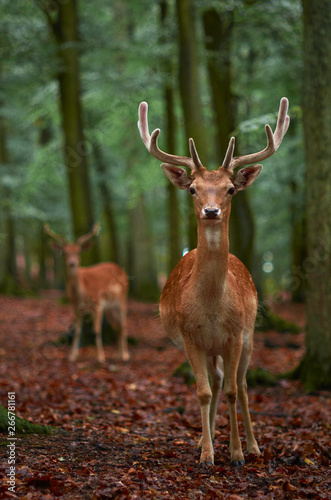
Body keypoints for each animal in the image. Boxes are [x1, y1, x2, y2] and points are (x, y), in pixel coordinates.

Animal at [45, 224, 130, 364]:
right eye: (65, 252)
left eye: (79, 251)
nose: (72, 263)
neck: (81, 294)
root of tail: (121, 270)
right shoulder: (75, 307)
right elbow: (77, 331)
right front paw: (72, 356)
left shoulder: (98, 304)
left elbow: (96, 331)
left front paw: (101, 357)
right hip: (110, 308)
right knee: (117, 326)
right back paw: (118, 354)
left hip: (123, 299)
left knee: (123, 324)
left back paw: (126, 355)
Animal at [139, 96, 290, 464]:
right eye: (193, 189)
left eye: (231, 189)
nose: (211, 211)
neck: (210, 307)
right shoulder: (190, 337)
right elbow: (203, 391)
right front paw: (207, 453)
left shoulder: (235, 334)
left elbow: (236, 390)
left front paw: (236, 452)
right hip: (205, 347)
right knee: (218, 379)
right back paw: (201, 440)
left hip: (250, 335)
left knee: (243, 384)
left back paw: (253, 445)